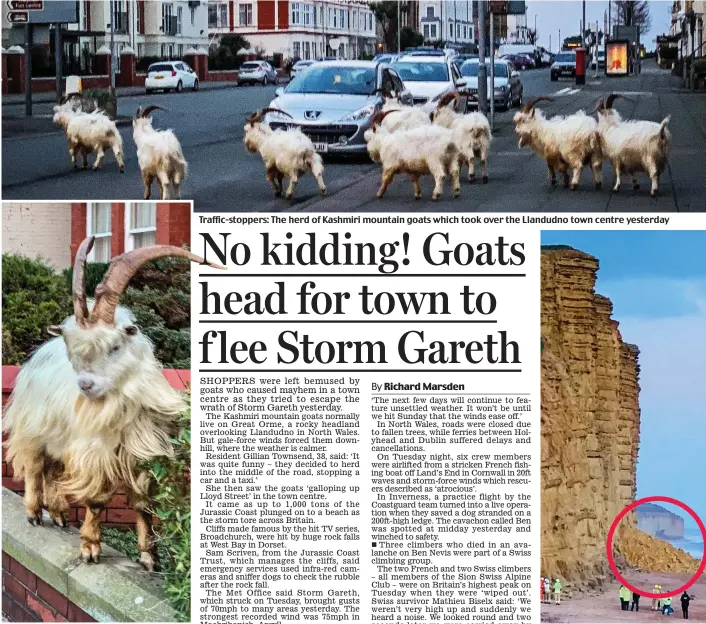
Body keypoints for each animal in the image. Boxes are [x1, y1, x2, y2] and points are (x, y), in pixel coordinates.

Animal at [2, 239, 223, 572]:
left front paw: (150, 558)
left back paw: (59, 514)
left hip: (60, 438)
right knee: (35, 466)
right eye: (74, 352)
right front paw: (90, 548)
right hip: (35, 427)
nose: (85, 385)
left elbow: (144, 503)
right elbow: (95, 500)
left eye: (115, 347)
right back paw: (34, 513)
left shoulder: (143, 454)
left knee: (53, 471)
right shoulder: (95, 452)